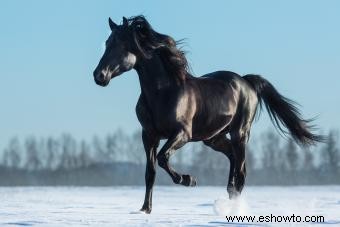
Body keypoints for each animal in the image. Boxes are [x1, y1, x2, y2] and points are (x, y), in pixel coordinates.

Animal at [93, 15, 324, 213]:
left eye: (122, 45)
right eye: (107, 42)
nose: (99, 75)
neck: (163, 92)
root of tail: (246, 81)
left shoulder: (182, 134)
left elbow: (163, 158)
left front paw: (189, 180)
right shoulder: (149, 136)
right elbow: (150, 172)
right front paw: (145, 210)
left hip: (240, 133)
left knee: (241, 172)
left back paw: (234, 206)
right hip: (214, 138)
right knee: (232, 158)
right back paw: (229, 197)